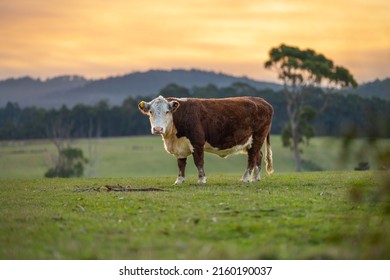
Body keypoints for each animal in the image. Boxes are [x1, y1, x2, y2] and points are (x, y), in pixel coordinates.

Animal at [139, 95, 272, 185]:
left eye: (167, 112)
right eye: (151, 112)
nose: (158, 129)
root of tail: (261, 100)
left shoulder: (197, 142)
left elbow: (199, 162)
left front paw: (202, 180)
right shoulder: (180, 147)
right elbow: (181, 164)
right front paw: (179, 180)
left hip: (258, 137)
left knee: (252, 158)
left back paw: (245, 178)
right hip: (252, 141)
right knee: (258, 155)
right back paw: (255, 178)